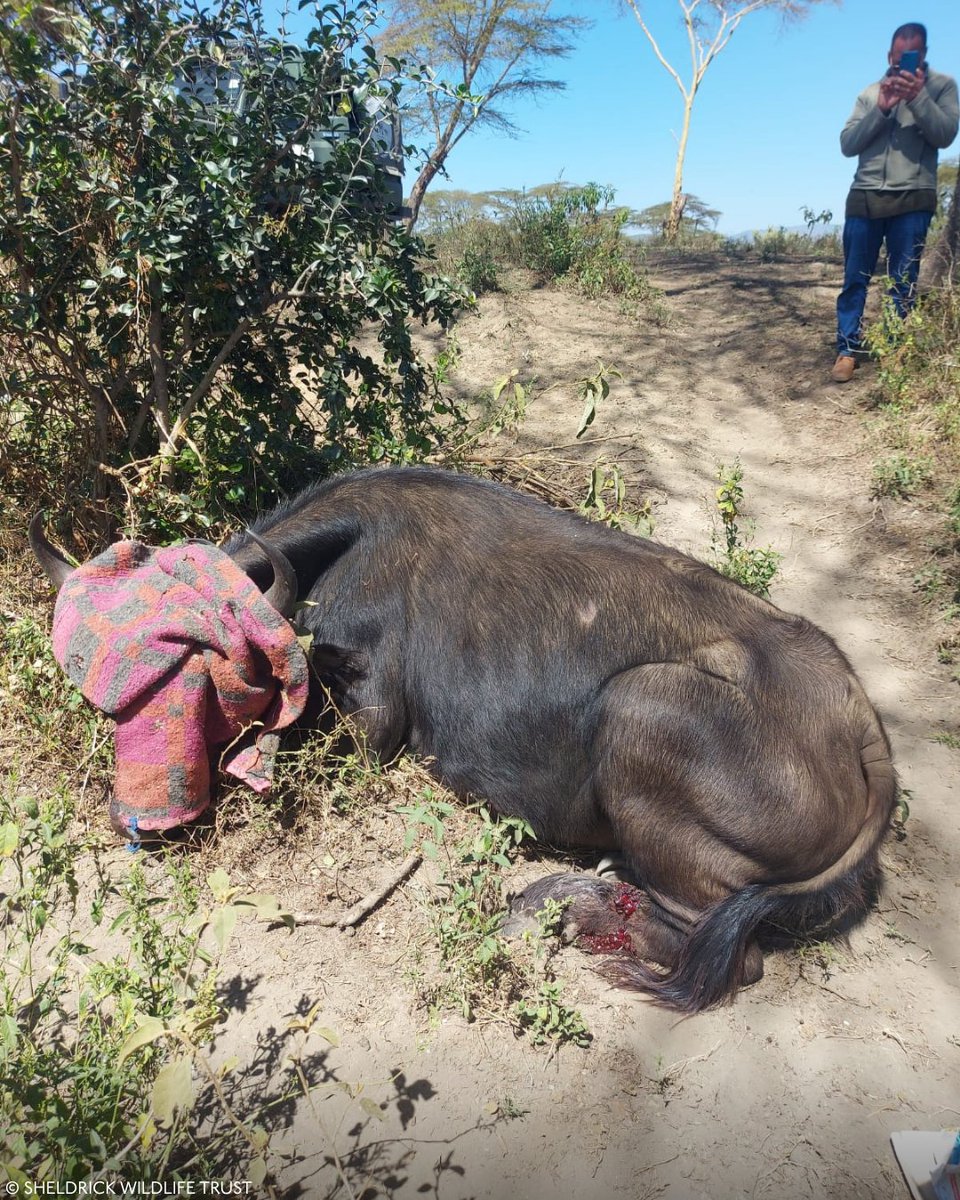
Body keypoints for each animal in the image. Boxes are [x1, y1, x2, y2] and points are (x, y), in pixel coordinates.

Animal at [31, 466, 897, 1012]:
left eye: (206, 691)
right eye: (112, 704)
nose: (136, 818)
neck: (346, 553)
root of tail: (858, 723)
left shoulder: (375, 724)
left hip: (643, 707)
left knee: (727, 951)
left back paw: (569, 910)